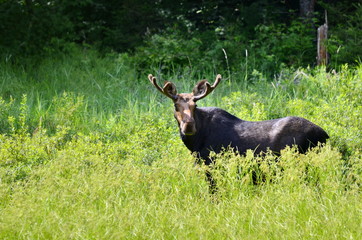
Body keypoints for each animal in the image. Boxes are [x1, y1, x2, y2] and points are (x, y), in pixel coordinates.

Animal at [148, 74, 330, 188]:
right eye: (175, 106)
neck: (194, 144)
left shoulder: (212, 164)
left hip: (302, 161)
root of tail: (325, 134)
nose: (189, 125)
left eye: (195, 105)